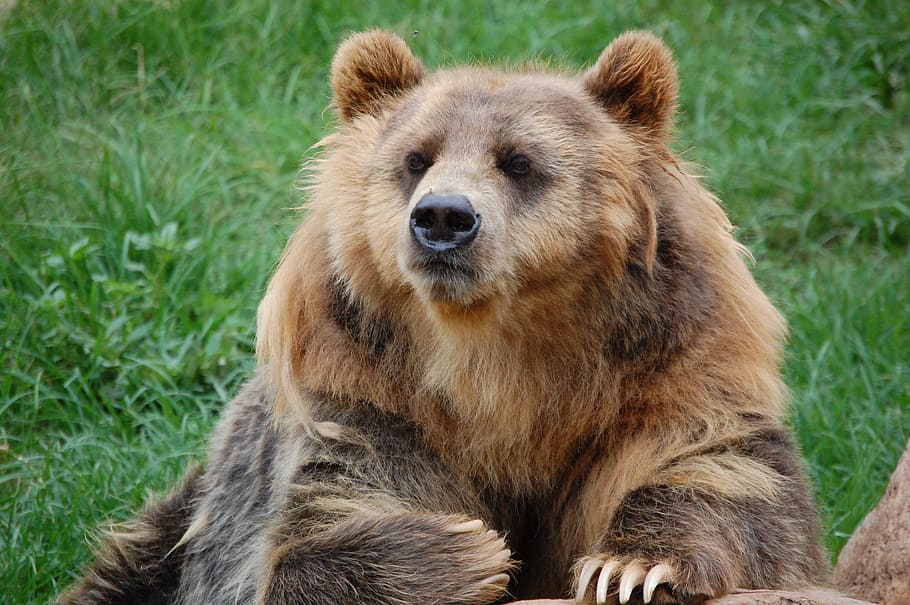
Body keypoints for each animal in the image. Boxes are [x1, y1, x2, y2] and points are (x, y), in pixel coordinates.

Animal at [58, 30, 828, 605]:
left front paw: (630, 567)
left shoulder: (669, 378)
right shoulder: (370, 409)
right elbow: (314, 534)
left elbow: (725, 474)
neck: (498, 363)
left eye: (518, 161)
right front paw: (463, 550)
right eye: (414, 158)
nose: (443, 218)